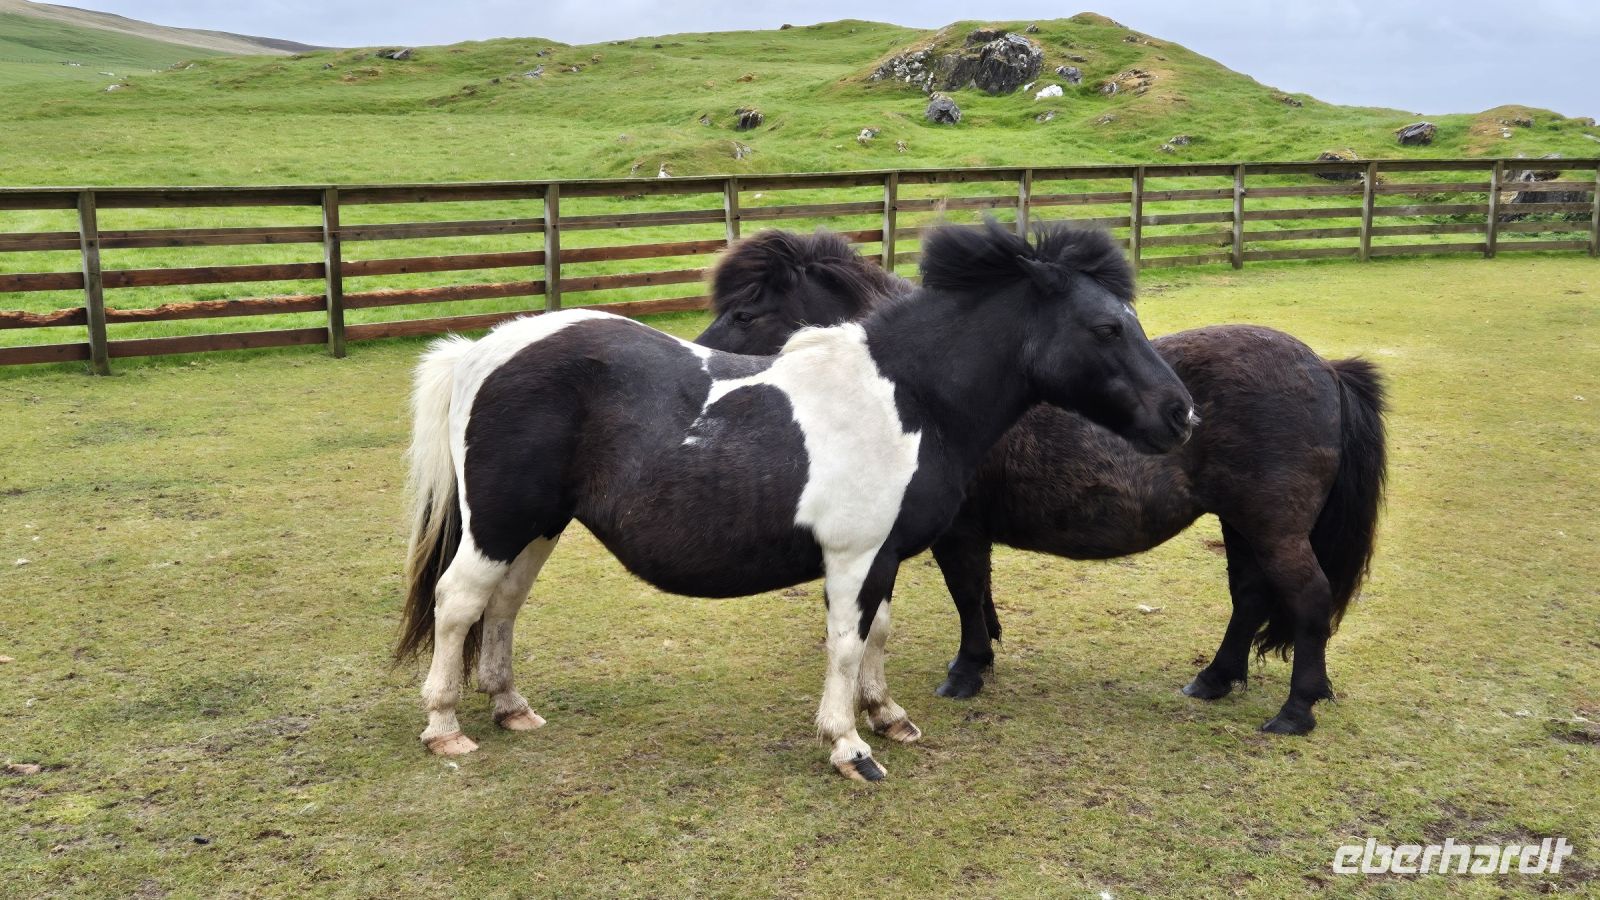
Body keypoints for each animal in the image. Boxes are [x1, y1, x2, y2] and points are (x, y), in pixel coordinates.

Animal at [395, 222, 1196, 781]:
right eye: (1107, 326)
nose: (1182, 413)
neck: (907, 398)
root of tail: (481, 351)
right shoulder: (852, 557)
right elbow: (844, 643)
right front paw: (848, 745)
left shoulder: (885, 555)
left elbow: (878, 635)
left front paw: (887, 715)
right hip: (499, 524)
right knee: (459, 603)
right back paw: (444, 728)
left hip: (537, 526)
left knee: (503, 607)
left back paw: (511, 708)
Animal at [696, 228, 1388, 736]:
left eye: (744, 312)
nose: (700, 363)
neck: (929, 390)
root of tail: (1325, 368)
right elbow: (980, 596)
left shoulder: (958, 532)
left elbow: (967, 594)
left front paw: (967, 671)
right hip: (1242, 526)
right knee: (1248, 599)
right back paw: (1214, 680)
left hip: (1274, 528)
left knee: (1307, 599)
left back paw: (1296, 711)